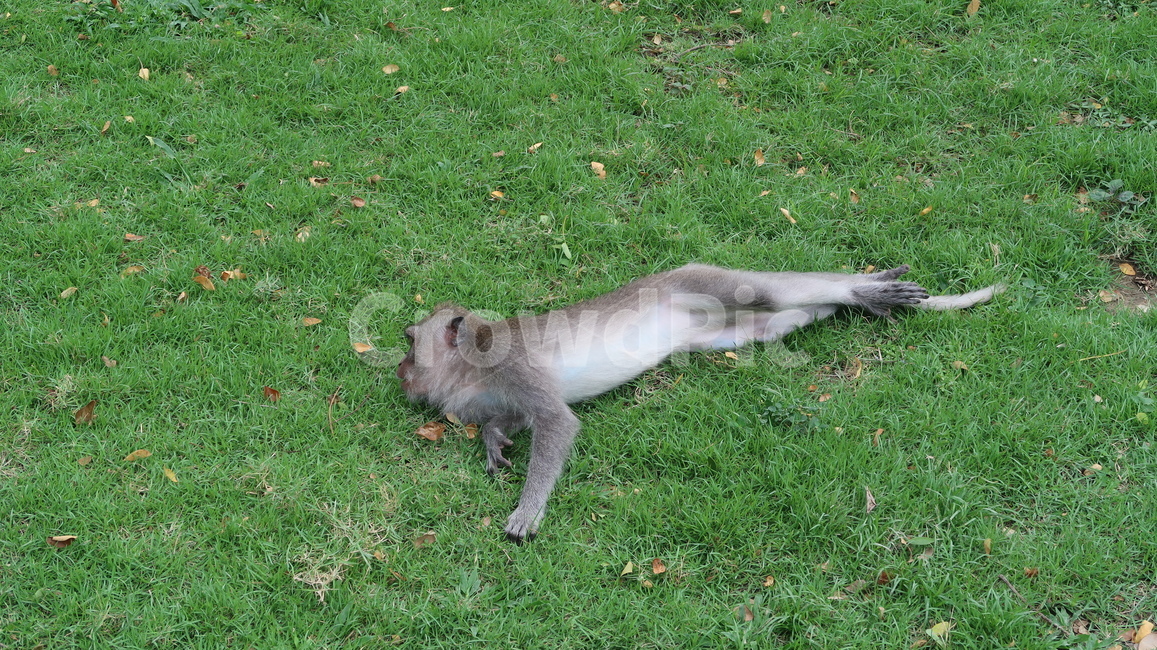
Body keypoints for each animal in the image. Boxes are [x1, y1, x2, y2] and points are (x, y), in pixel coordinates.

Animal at [395, 264, 1004, 542]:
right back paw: (849, 304)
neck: (471, 368)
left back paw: (857, 288)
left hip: (700, 280)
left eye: (407, 341)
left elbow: (556, 422)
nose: (400, 371)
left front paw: (527, 509)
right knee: (782, 319)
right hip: (719, 331)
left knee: (773, 291)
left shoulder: (512, 364)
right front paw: (494, 440)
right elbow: (518, 418)